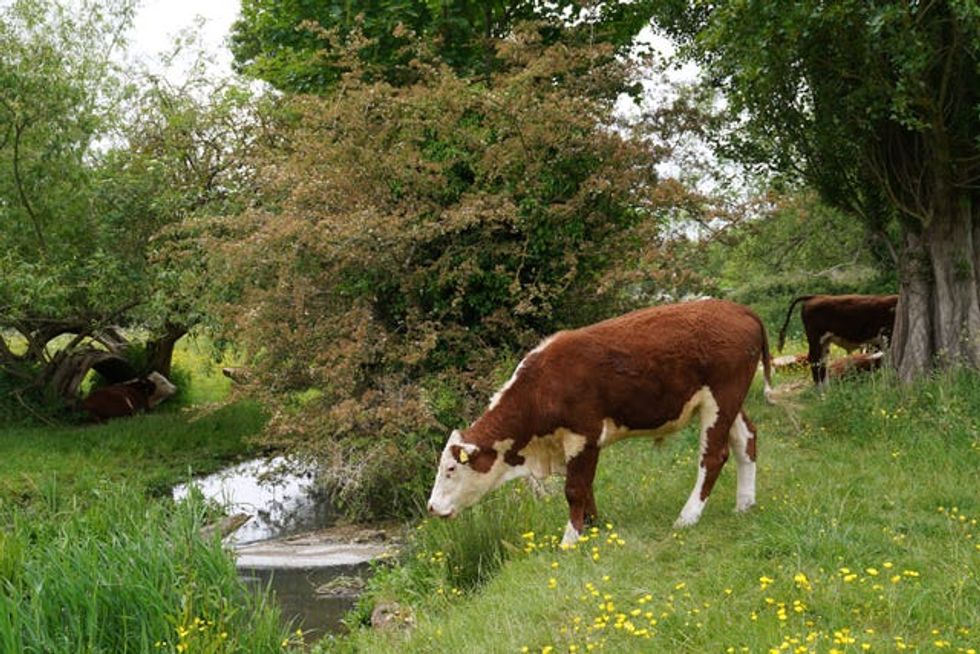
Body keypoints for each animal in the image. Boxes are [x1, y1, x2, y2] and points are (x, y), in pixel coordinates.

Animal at [427, 299, 773, 546]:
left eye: (451, 469)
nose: (431, 507)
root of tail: (738, 309)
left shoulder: (583, 434)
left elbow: (574, 489)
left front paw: (570, 539)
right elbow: (585, 487)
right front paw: (593, 528)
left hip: (721, 398)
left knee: (713, 456)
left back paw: (687, 517)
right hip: (727, 403)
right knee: (746, 441)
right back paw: (744, 504)